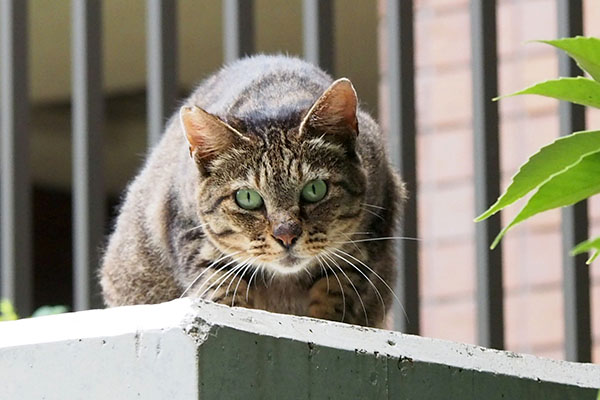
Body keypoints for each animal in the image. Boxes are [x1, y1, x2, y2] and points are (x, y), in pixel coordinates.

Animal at [101, 54, 406, 328]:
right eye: (247, 198)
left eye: (315, 189)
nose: (286, 235)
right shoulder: (190, 234)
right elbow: (221, 290)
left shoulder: (369, 236)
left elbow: (337, 292)